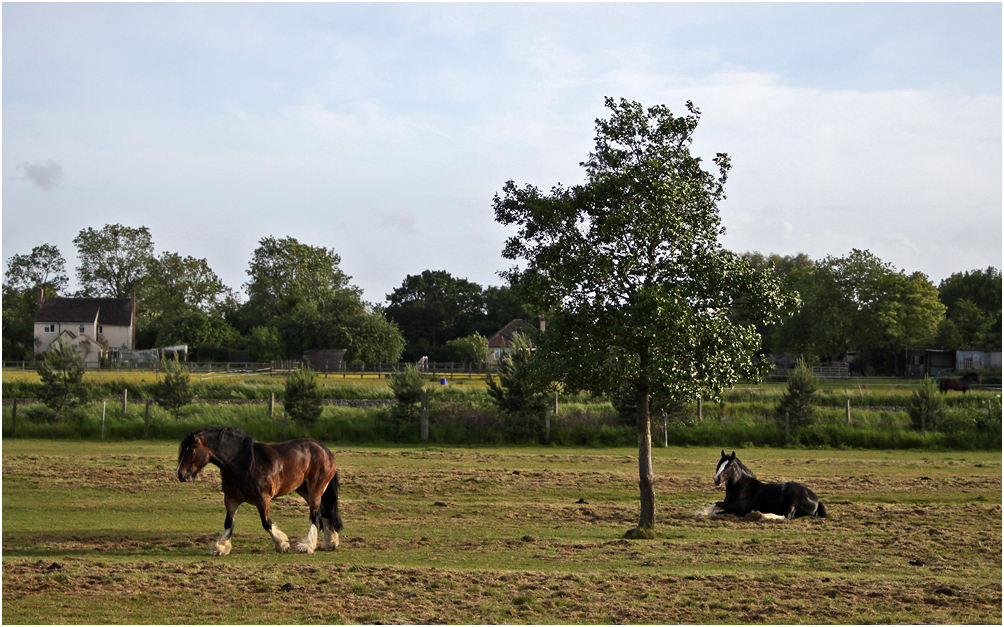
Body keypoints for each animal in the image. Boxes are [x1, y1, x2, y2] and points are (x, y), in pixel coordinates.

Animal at [176, 425, 341, 553]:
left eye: (191, 450)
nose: (180, 474)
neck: (242, 463)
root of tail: (325, 450)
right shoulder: (231, 499)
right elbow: (228, 523)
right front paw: (221, 547)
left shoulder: (263, 499)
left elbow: (266, 522)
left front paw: (282, 544)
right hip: (304, 489)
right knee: (324, 510)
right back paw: (331, 542)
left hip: (315, 488)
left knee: (315, 514)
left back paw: (306, 546)